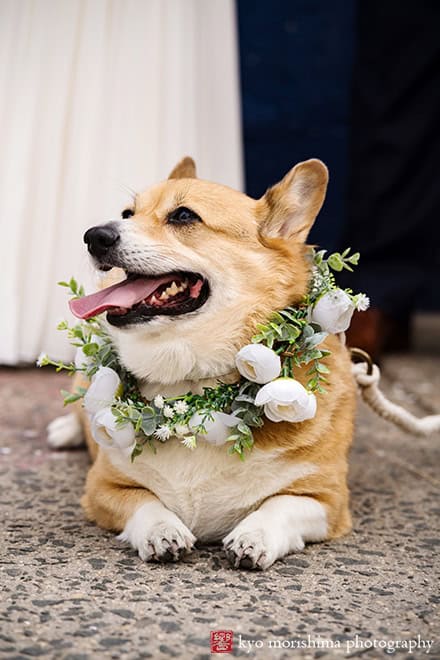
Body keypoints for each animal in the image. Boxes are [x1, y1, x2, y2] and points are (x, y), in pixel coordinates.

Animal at [48, 157, 356, 568]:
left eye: (183, 216)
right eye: (128, 213)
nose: (94, 235)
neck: (190, 387)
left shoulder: (325, 500)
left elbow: (278, 506)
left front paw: (253, 536)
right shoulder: (104, 488)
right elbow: (146, 503)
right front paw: (163, 531)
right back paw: (65, 430)